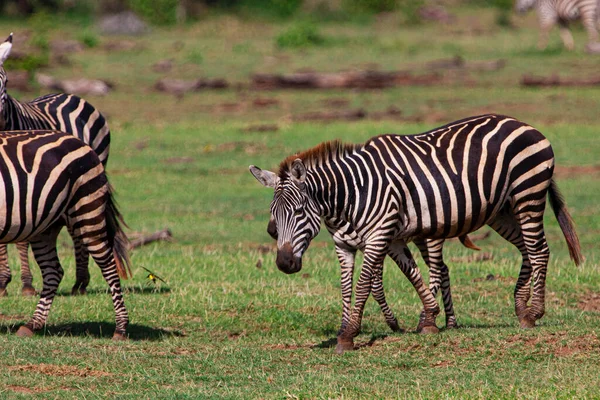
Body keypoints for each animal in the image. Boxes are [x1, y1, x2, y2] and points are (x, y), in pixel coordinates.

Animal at [0, 32, 111, 296]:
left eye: (6, 81)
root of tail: (67, 94)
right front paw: (2, 283)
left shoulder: (24, 186)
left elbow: (22, 237)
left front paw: (27, 284)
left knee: (77, 229)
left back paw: (80, 281)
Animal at [0, 129, 131, 340]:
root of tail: (81, 142)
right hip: (44, 228)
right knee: (54, 271)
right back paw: (32, 325)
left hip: (87, 211)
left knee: (109, 266)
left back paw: (120, 328)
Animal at [248, 113, 580, 354]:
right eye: (273, 221)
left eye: (298, 212)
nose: (284, 264)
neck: (350, 196)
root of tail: (525, 125)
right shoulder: (351, 243)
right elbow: (365, 282)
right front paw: (427, 318)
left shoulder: (379, 236)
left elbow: (366, 283)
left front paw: (349, 335)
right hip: (502, 210)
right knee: (527, 250)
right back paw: (520, 307)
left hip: (528, 195)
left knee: (539, 250)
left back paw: (533, 313)